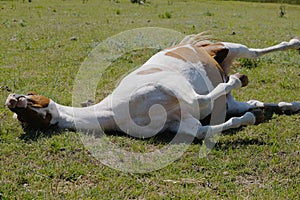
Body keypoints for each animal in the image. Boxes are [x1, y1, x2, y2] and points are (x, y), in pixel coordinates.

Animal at [4, 33, 300, 140]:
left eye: (31, 96)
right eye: (23, 119)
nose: (12, 100)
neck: (115, 111)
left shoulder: (185, 95)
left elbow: (211, 94)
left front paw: (240, 79)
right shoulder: (185, 123)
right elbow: (213, 129)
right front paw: (253, 118)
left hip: (231, 48)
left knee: (256, 52)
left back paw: (293, 43)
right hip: (228, 98)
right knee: (249, 102)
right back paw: (290, 104)